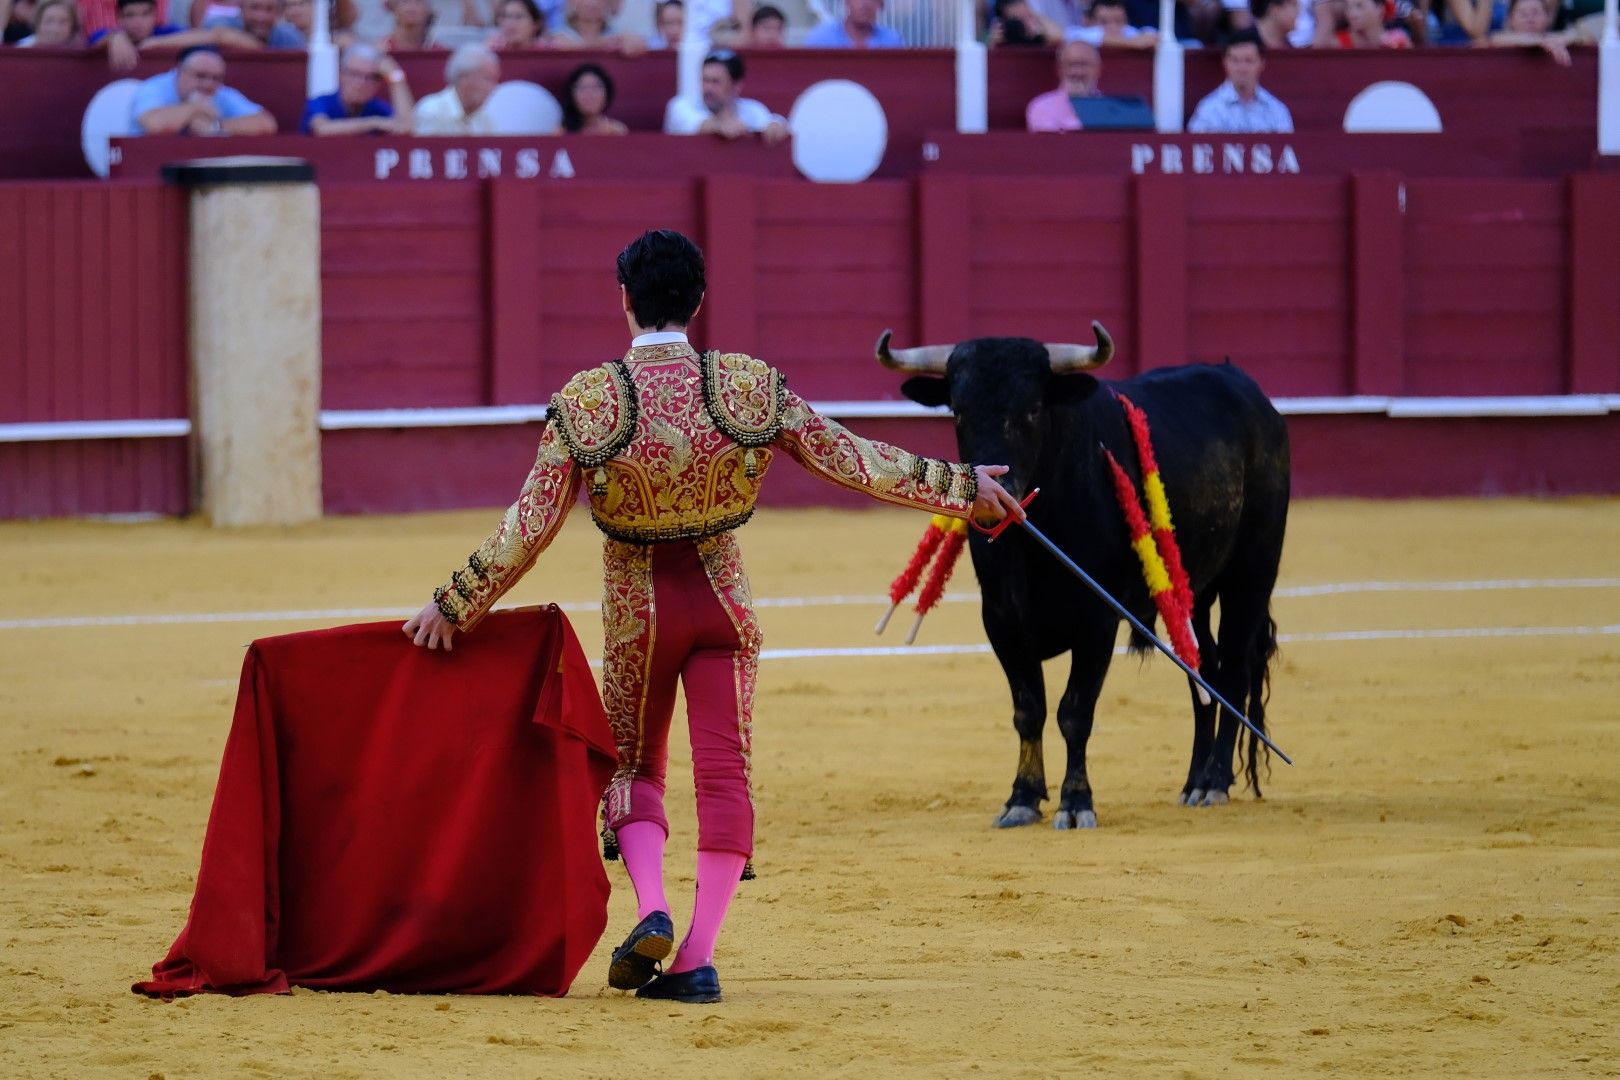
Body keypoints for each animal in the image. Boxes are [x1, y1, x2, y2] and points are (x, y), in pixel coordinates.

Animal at [881, 325, 1283, 835]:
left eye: (1033, 408)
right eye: (958, 410)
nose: (996, 498)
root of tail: (1249, 391)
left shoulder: (1097, 621)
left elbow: (1075, 711)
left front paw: (1075, 803)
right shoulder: (1001, 621)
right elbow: (1028, 710)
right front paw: (1022, 798)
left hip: (1251, 573)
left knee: (1231, 670)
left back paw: (1213, 782)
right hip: (1194, 590)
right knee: (1203, 671)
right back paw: (1193, 782)